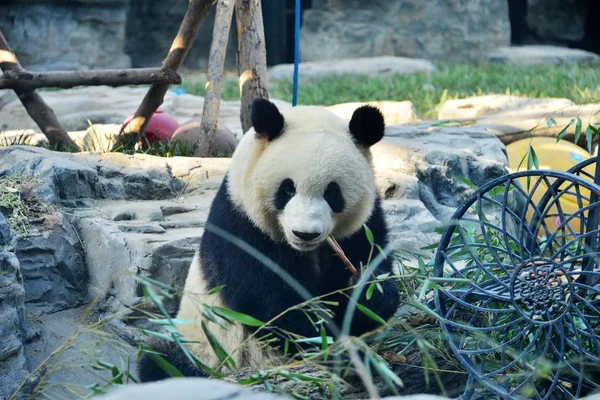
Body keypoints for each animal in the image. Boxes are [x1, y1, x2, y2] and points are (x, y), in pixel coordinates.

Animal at [138, 98, 400, 382]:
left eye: (332, 193)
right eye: (287, 189)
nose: (305, 234)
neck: (305, 250)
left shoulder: (364, 225)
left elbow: (370, 269)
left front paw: (366, 288)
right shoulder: (240, 223)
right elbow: (272, 303)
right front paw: (329, 343)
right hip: (204, 350)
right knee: (161, 362)